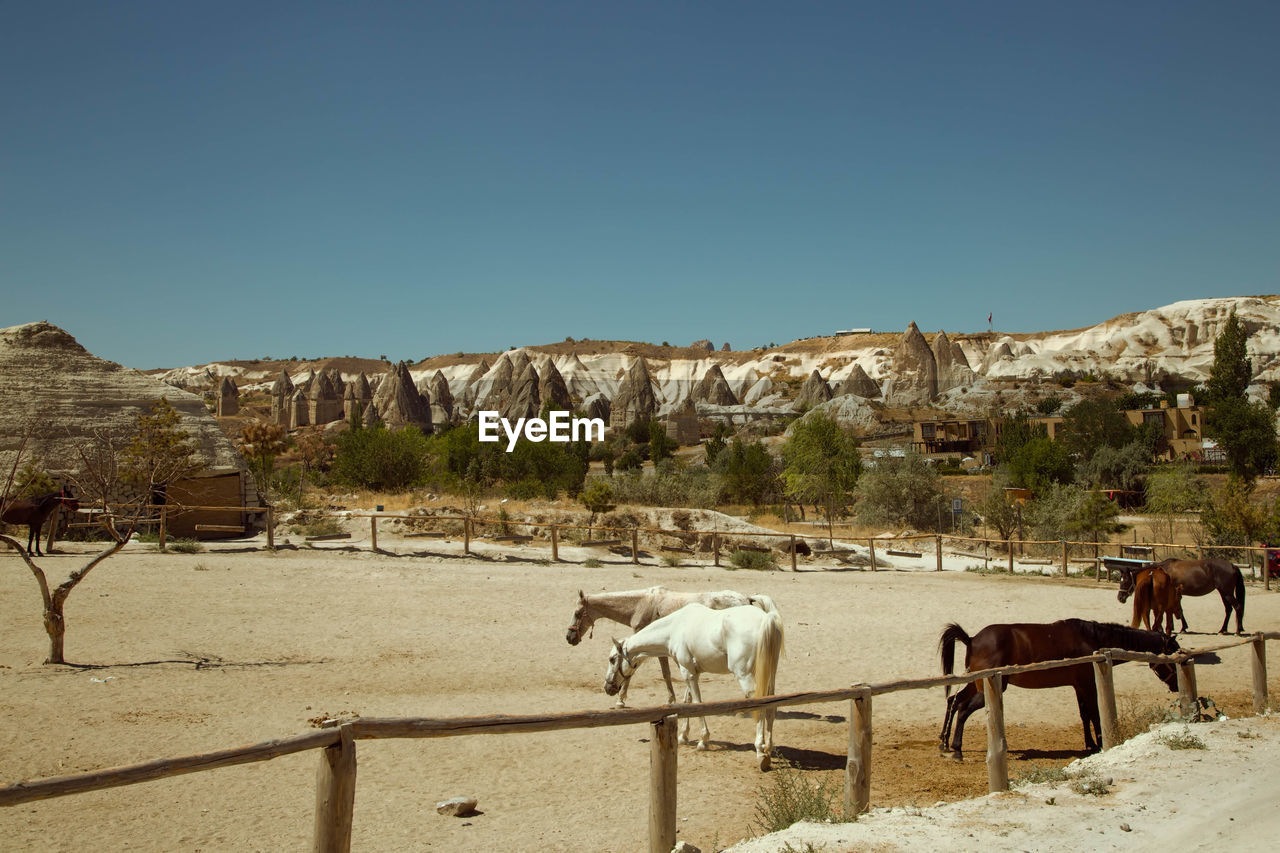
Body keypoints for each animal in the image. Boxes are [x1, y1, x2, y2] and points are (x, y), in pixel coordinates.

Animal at [568, 584, 768, 701]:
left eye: (577, 613)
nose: (569, 638)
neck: (640, 605)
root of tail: (746, 598)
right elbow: (665, 673)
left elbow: (642, 672)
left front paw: (621, 699)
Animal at [604, 594, 783, 768]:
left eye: (612, 659)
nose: (607, 687)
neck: (674, 628)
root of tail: (766, 619)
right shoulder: (690, 671)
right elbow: (687, 702)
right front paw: (683, 736)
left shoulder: (688, 672)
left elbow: (697, 704)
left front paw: (703, 741)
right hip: (770, 675)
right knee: (771, 705)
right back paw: (769, 747)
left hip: (745, 676)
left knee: (760, 705)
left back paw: (760, 751)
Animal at [936, 617, 1172, 758]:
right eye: (1173, 650)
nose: (1176, 684)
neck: (1092, 640)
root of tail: (972, 639)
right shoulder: (1088, 685)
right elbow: (1095, 714)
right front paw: (1100, 743)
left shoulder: (1079, 686)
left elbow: (1084, 715)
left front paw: (1090, 744)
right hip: (988, 688)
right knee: (963, 708)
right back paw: (957, 749)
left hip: (977, 683)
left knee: (954, 701)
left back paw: (944, 742)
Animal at [1116, 555, 1244, 635]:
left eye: (1125, 581)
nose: (1120, 598)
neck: (1162, 570)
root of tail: (1232, 566)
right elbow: (1178, 611)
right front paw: (1181, 627)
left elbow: (1176, 611)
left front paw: (1178, 628)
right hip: (1224, 593)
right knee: (1228, 609)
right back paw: (1223, 630)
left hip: (1226, 593)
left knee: (1237, 607)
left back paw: (1237, 631)